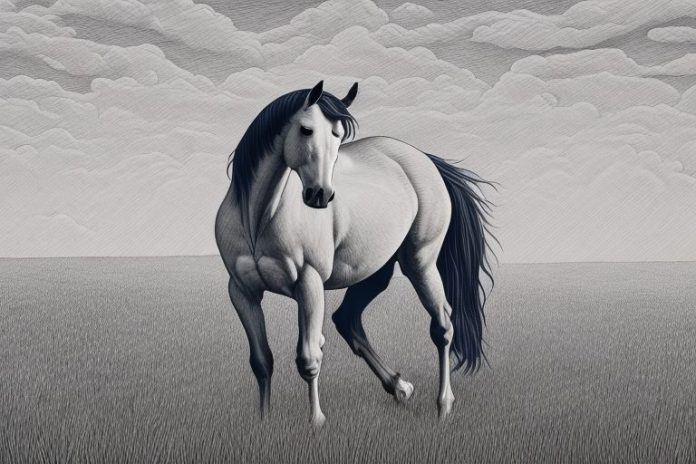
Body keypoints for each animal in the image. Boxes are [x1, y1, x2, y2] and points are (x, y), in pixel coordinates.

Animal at [215, 81, 494, 427]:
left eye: (337, 135)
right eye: (306, 129)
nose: (321, 195)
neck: (259, 218)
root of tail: (424, 160)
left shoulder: (309, 286)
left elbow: (309, 359)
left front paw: (316, 423)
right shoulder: (242, 292)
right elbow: (261, 362)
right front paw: (264, 420)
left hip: (420, 263)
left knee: (442, 325)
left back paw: (443, 406)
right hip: (374, 271)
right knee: (348, 319)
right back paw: (400, 387)